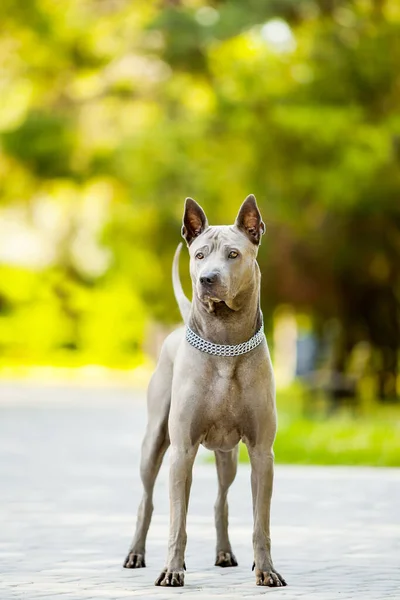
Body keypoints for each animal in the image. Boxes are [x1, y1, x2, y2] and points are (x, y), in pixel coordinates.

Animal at [123, 196, 286, 584]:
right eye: (198, 255)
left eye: (233, 254)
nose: (206, 279)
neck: (224, 343)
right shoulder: (182, 449)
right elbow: (176, 522)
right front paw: (172, 570)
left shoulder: (262, 453)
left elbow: (261, 523)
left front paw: (267, 570)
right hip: (156, 443)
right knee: (150, 500)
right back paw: (137, 553)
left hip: (228, 456)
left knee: (220, 499)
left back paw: (225, 552)